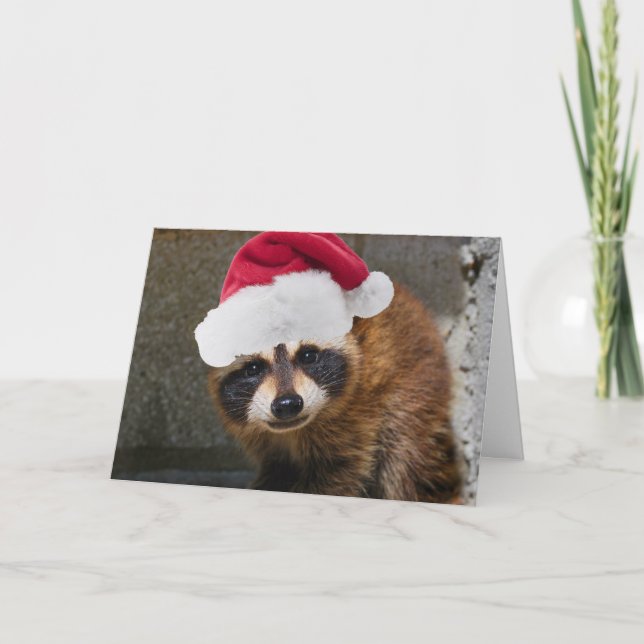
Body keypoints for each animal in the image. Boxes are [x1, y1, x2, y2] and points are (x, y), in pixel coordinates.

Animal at [207, 283, 464, 503]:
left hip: (416, 385)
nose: (288, 404)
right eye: (253, 368)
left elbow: (339, 473)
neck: (293, 432)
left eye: (308, 356)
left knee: (402, 457)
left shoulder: (355, 415)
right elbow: (277, 469)